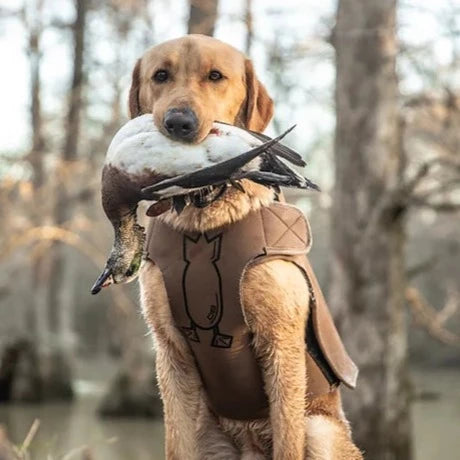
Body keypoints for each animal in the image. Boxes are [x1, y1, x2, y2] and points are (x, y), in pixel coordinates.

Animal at [130, 34, 362, 458]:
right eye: (161, 75)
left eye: (215, 76)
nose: (179, 123)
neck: (205, 218)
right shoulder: (171, 353)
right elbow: (176, 445)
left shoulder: (280, 345)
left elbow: (289, 444)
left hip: (320, 430)